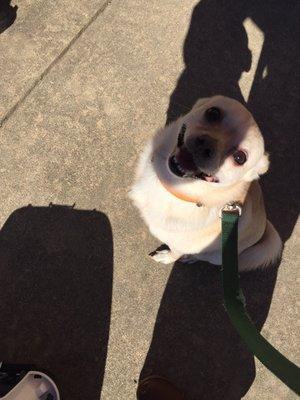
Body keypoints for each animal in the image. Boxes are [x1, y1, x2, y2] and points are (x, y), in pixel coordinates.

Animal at [130, 96, 282, 272]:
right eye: (213, 113)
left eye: (240, 158)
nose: (206, 145)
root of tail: (264, 225)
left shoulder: (179, 247)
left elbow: (175, 253)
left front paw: (167, 257)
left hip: (215, 256)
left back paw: (190, 258)